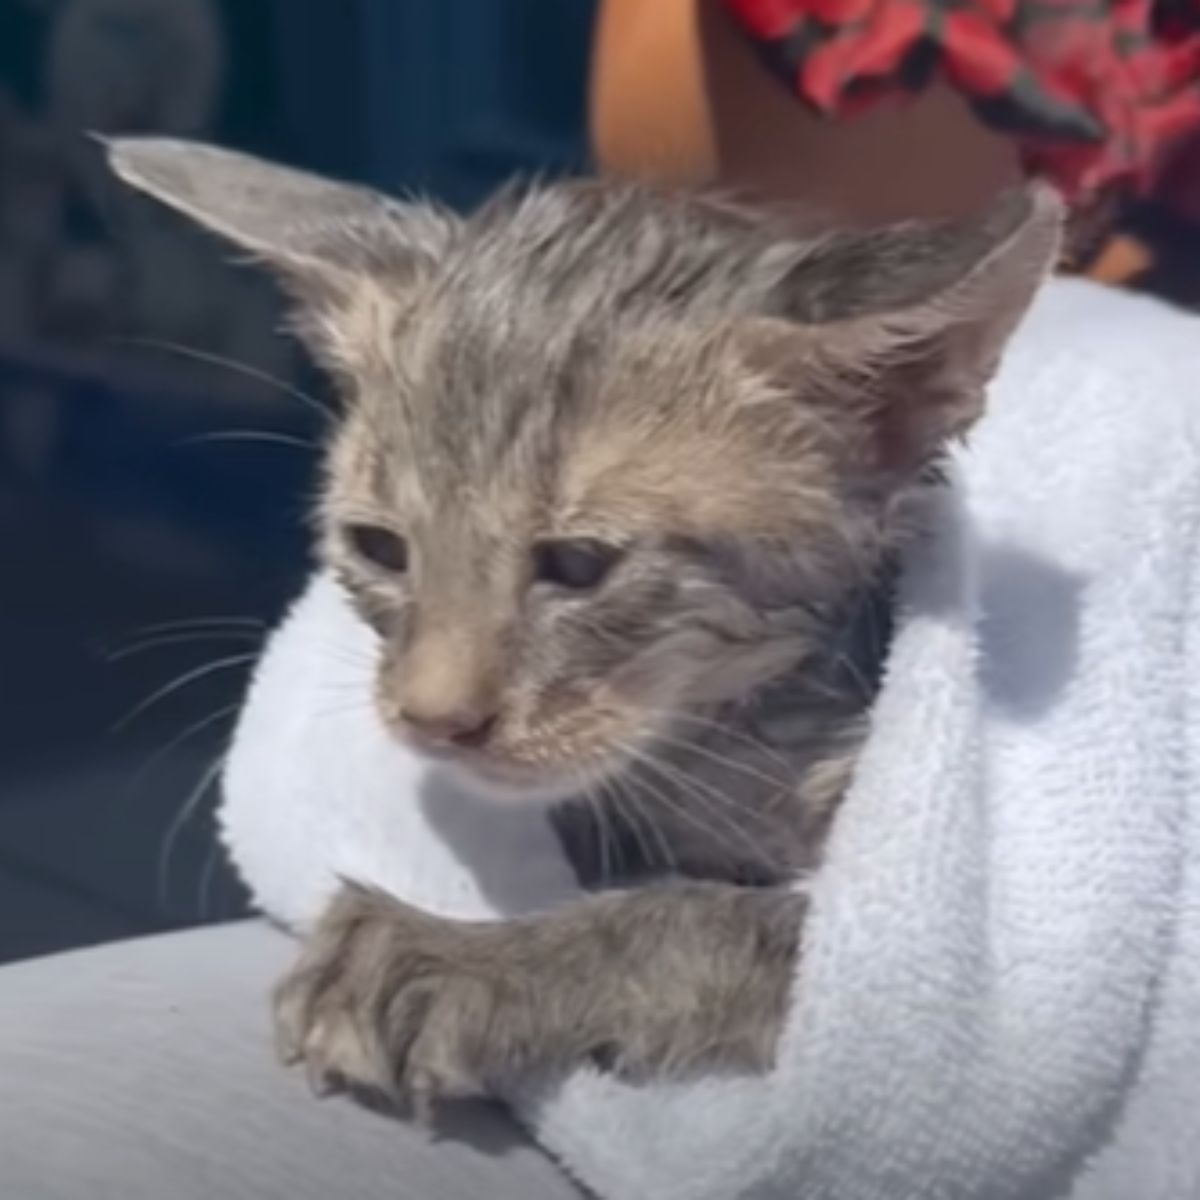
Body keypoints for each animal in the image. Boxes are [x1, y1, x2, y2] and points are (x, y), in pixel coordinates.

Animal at [110, 140, 1060, 1113]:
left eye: (577, 566)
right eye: (380, 548)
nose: (434, 720)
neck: (731, 743)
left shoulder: (919, 975)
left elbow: (716, 929)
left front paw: (463, 959)